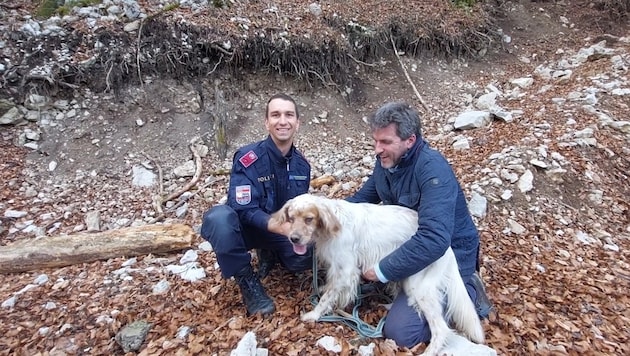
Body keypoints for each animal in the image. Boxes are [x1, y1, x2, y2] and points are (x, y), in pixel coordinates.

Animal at [270, 193, 484, 354]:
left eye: (309, 219)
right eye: (291, 218)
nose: (294, 238)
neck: (332, 224)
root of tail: (448, 247)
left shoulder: (346, 269)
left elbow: (328, 296)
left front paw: (314, 314)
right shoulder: (337, 267)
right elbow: (330, 288)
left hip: (420, 288)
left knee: (441, 329)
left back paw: (429, 351)